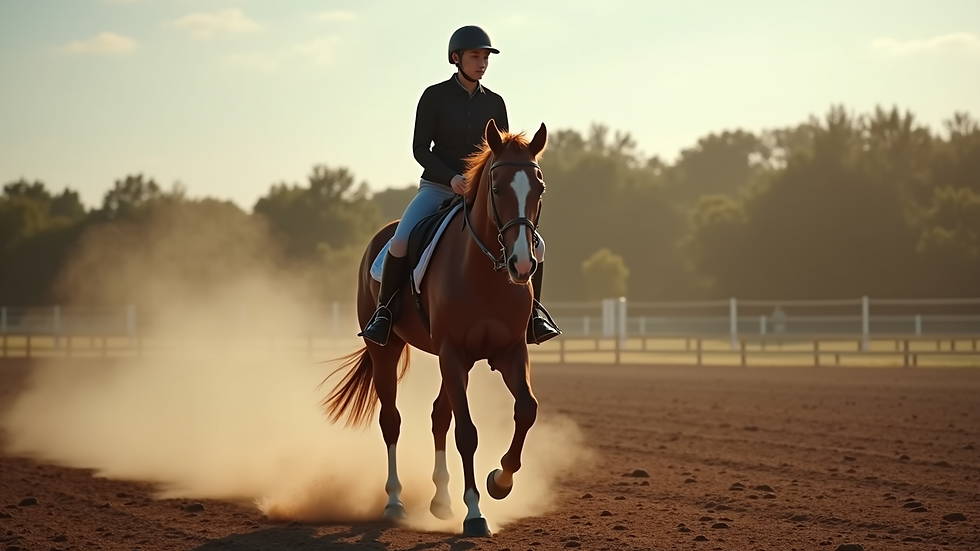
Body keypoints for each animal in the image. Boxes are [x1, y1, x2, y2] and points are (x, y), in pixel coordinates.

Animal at [321, 119, 549, 537]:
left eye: (539, 189)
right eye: (496, 189)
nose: (522, 264)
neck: (484, 274)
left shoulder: (508, 351)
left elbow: (526, 409)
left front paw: (500, 481)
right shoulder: (453, 353)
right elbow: (467, 433)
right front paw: (474, 513)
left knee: (438, 416)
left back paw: (441, 500)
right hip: (388, 350)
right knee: (392, 420)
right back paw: (394, 502)